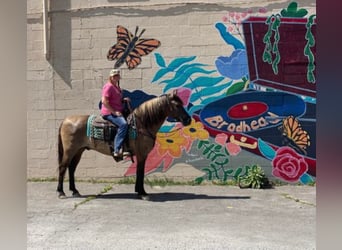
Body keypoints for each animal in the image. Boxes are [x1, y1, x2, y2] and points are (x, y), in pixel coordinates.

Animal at [54, 91, 191, 200]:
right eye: (177, 105)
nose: (188, 120)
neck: (141, 124)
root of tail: (66, 120)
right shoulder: (141, 154)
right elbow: (140, 172)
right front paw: (142, 193)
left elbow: (139, 172)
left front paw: (139, 191)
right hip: (70, 150)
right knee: (63, 168)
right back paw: (61, 192)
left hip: (79, 150)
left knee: (71, 168)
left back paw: (75, 191)